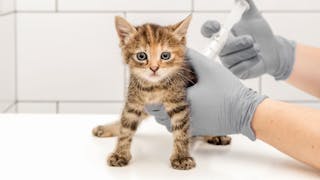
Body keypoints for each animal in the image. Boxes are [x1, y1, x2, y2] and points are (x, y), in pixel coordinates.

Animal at [91, 15, 231, 170]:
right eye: (141, 56)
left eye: (165, 55)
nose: (154, 68)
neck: (153, 88)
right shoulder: (134, 102)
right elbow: (126, 127)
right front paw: (120, 154)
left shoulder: (179, 103)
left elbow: (181, 131)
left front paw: (181, 157)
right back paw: (105, 128)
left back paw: (215, 135)